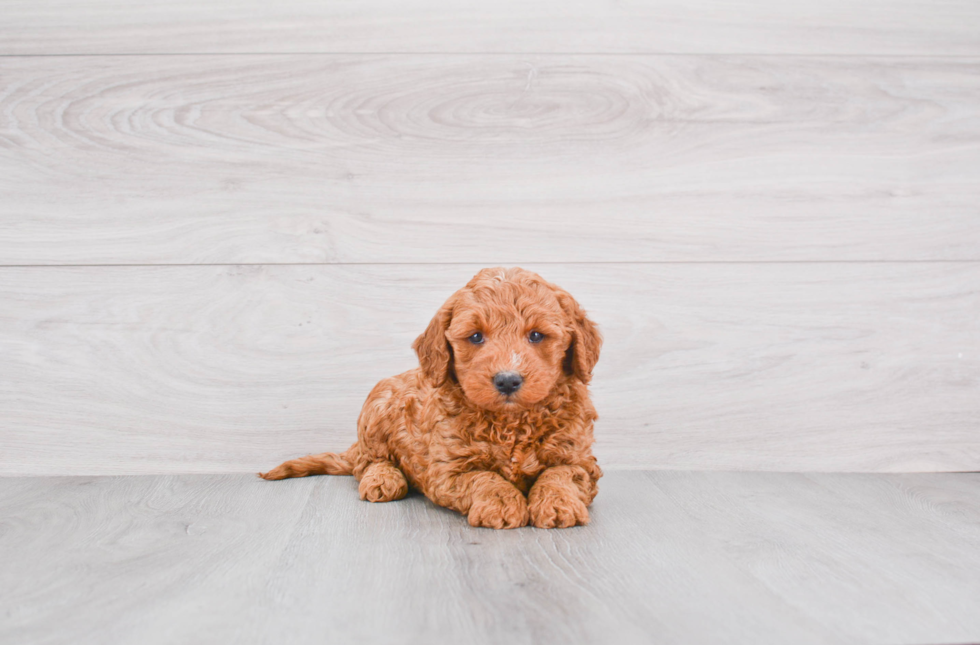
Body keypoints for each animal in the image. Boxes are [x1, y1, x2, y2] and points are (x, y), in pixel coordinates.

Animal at [260, 266, 600, 528]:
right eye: (476, 336)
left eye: (536, 335)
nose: (507, 380)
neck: (510, 423)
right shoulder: (448, 470)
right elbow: (484, 478)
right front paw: (502, 505)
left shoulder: (582, 460)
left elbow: (561, 473)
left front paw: (558, 504)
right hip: (377, 408)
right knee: (368, 463)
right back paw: (383, 479)